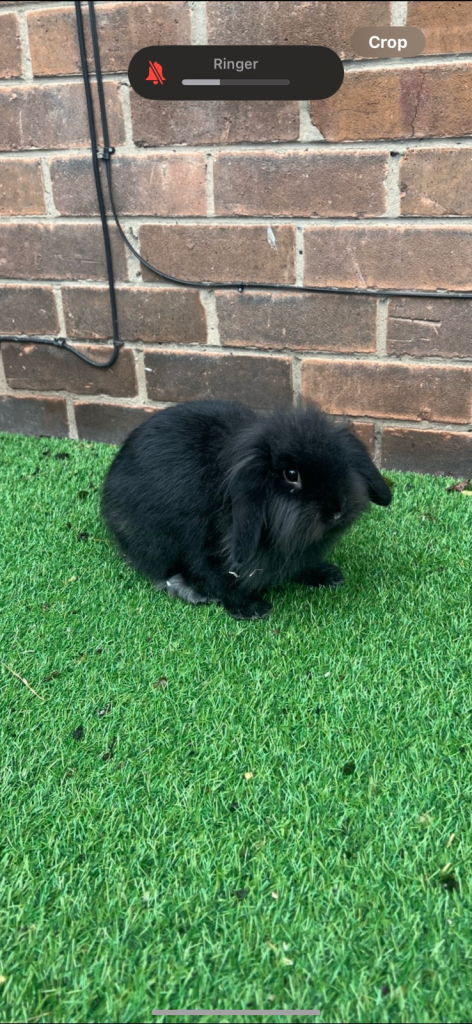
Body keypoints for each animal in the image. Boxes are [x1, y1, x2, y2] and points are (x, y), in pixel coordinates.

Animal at [101, 399, 392, 620]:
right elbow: (219, 580)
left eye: (340, 461)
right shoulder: (205, 550)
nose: (337, 511)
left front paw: (327, 575)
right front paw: (250, 609)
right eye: (291, 474)